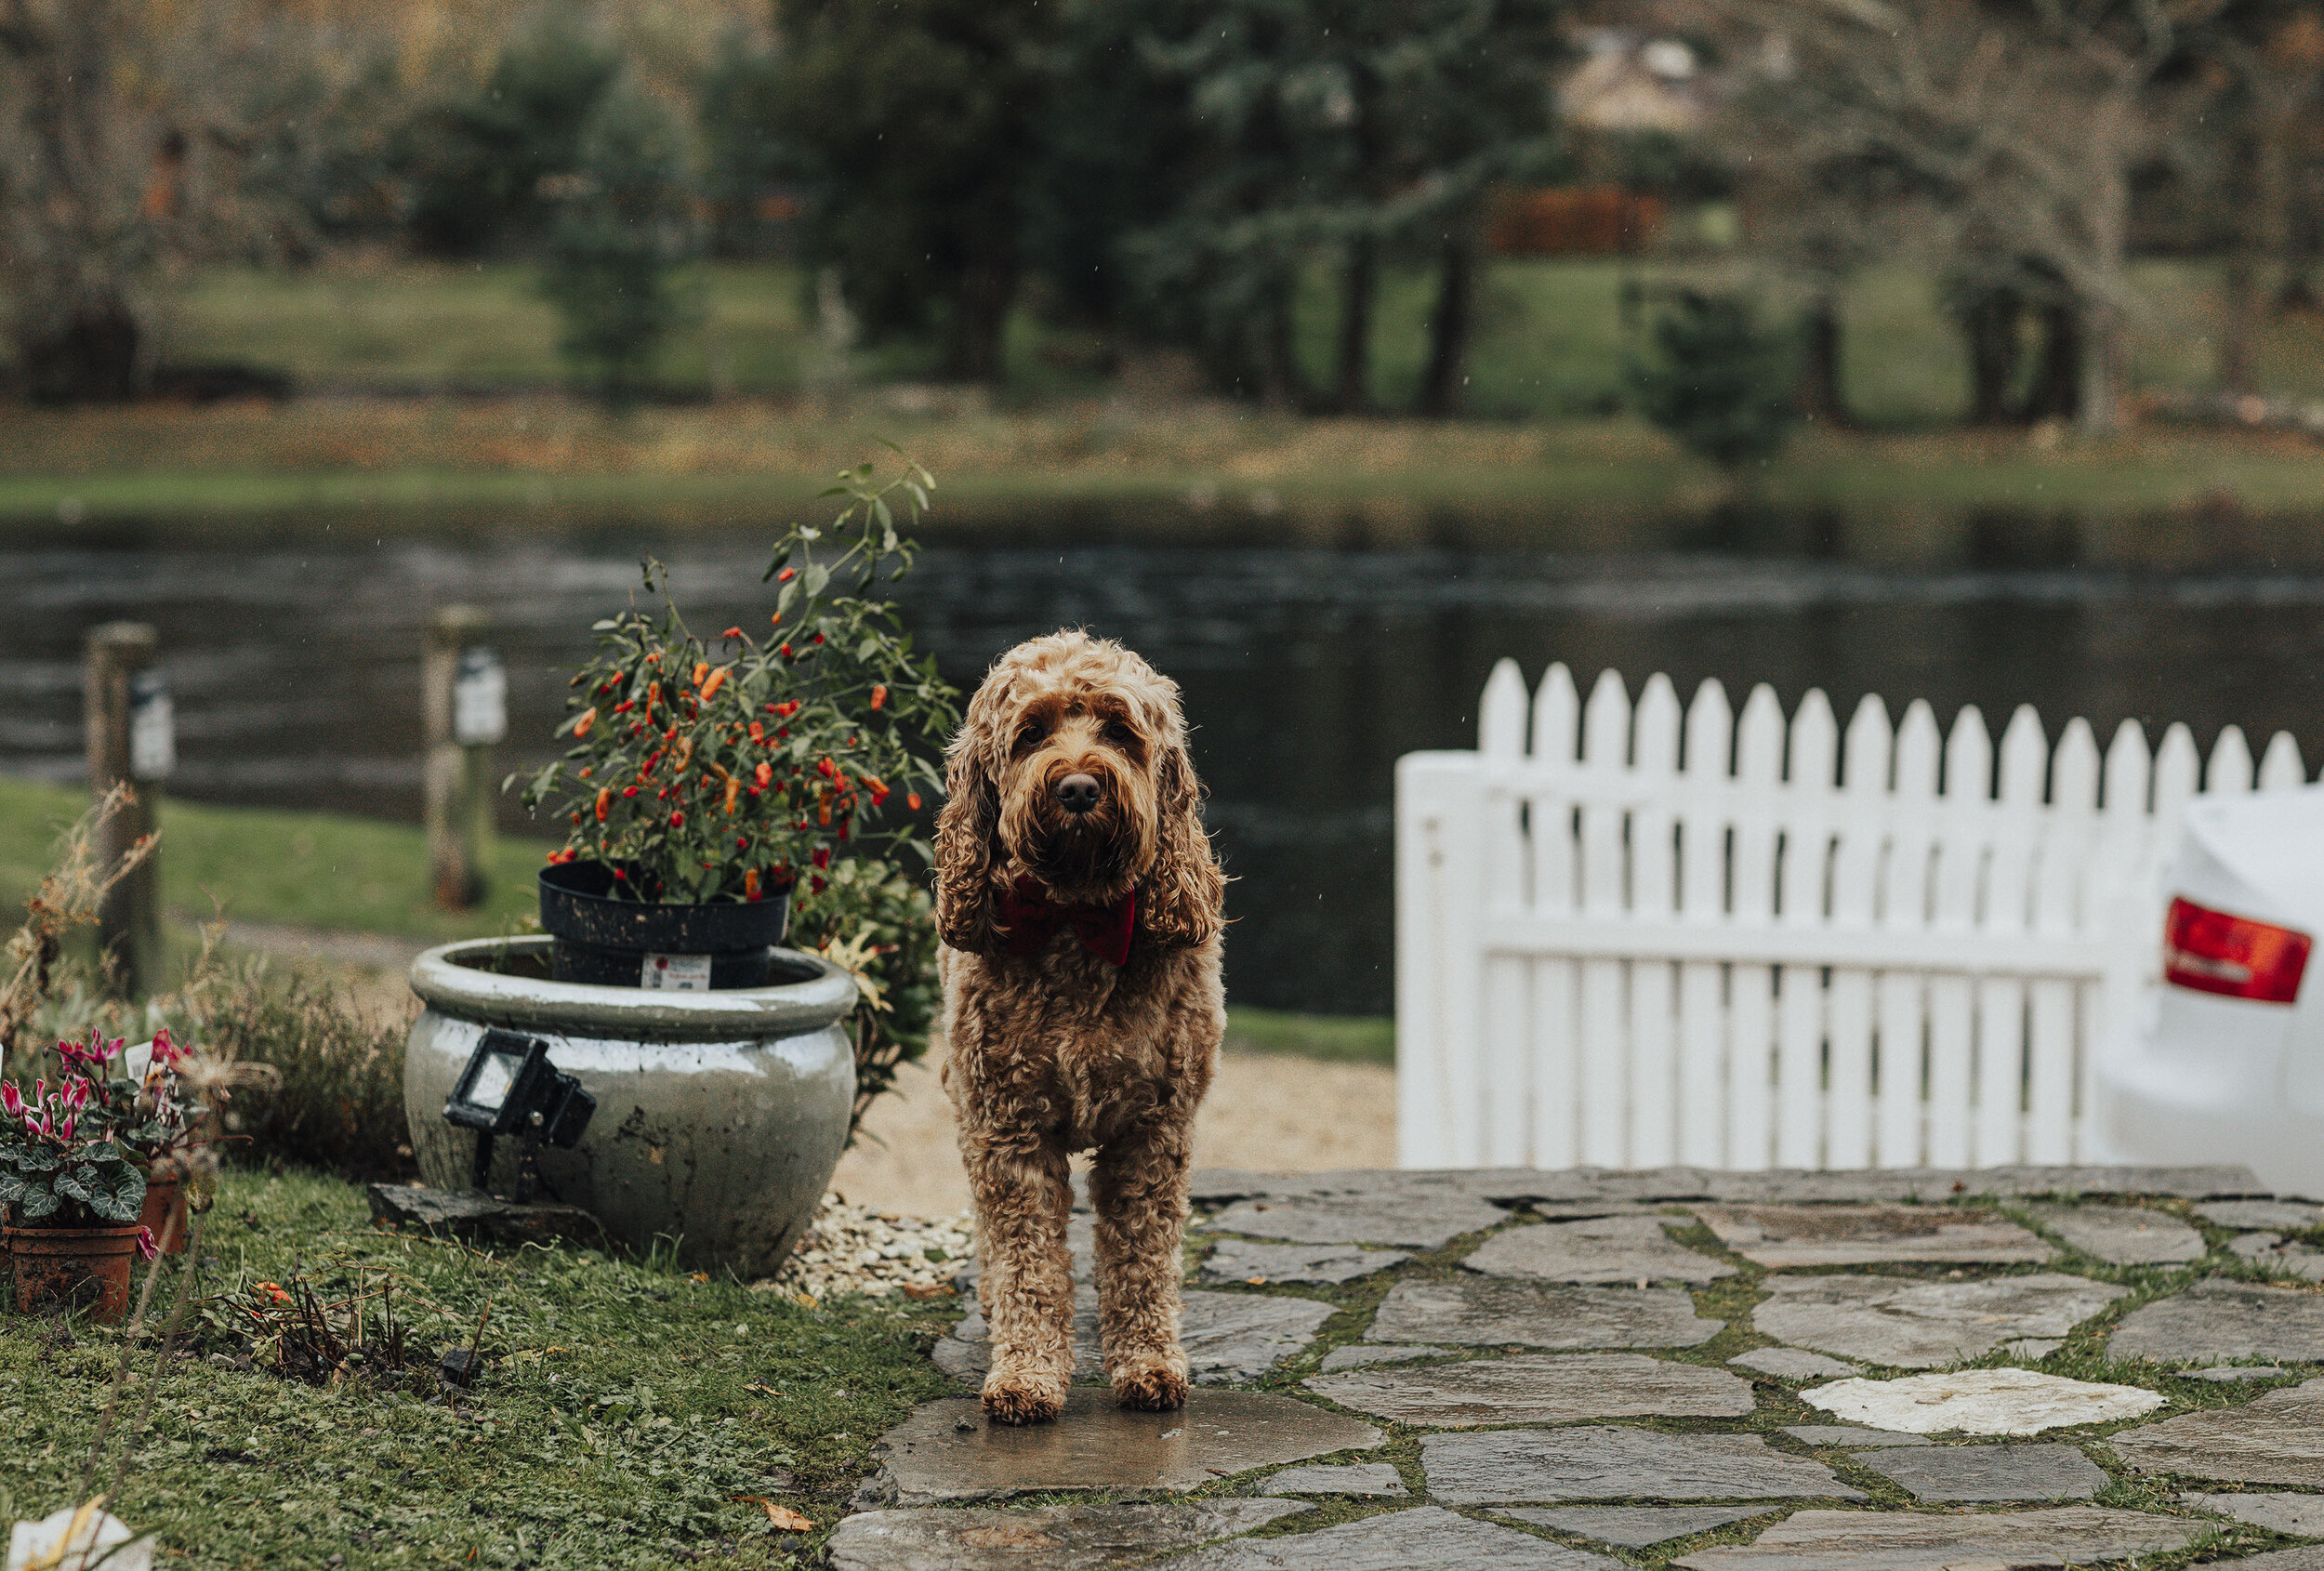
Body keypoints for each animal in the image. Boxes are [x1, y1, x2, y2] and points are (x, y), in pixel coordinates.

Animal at [939, 627, 1236, 1422]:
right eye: (1031, 734)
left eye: (1118, 731)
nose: (1076, 787)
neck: (1077, 917)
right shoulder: (1008, 1128)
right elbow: (1028, 1262)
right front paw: (1026, 1374)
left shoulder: (1153, 1131)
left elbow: (1141, 1258)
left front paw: (1149, 1363)